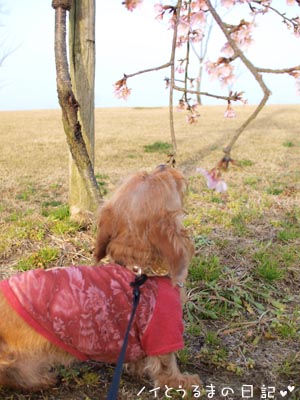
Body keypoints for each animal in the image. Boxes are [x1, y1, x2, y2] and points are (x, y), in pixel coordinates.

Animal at [0, 165, 202, 390]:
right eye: (164, 178)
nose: (163, 165)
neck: (138, 268)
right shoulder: (163, 331)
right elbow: (167, 366)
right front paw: (184, 382)